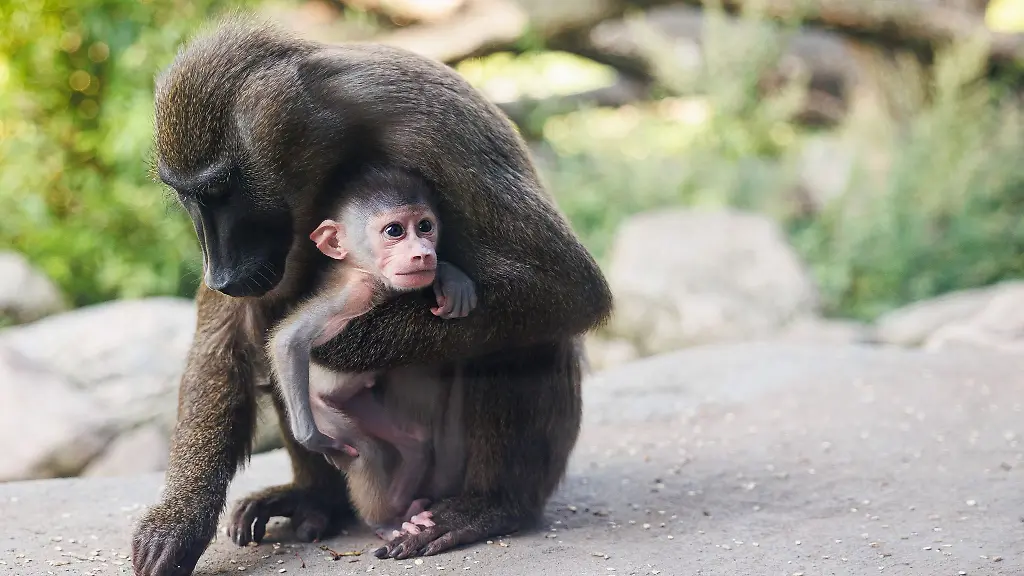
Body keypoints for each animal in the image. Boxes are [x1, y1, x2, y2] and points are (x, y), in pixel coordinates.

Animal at [267, 166, 476, 533]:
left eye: (425, 226)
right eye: (394, 231)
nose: (423, 252)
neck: (370, 276)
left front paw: (452, 279)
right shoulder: (354, 294)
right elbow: (287, 341)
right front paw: (310, 440)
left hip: (358, 402)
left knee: (415, 442)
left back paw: (402, 510)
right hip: (322, 409)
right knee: (365, 450)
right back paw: (382, 522)